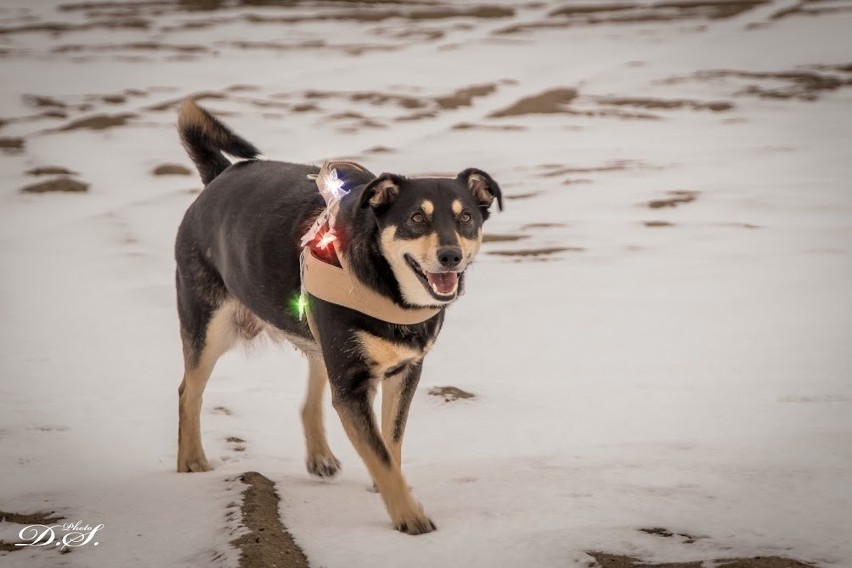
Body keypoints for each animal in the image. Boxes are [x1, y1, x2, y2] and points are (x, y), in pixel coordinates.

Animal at [176, 100, 502, 536]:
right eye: (416, 218)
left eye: (465, 217)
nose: (450, 255)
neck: (386, 286)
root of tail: (217, 176)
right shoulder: (351, 383)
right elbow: (379, 453)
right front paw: (409, 517)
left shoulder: (404, 370)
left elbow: (390, 442)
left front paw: (391, 489)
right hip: (209, 325)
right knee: (188, 392)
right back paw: (191, 461)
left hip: (320, 335)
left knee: (311, 393)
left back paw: (319, 457)